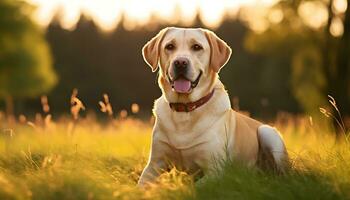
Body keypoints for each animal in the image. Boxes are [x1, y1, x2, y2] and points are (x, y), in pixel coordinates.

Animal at [138, 27, 288, 186]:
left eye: (197, 47)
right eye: (170, 46)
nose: (180, 62)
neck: (185, 109)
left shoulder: (215, 170)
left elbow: (194, 187)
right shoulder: (154, 164)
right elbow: (139, 186)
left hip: (268, 132)